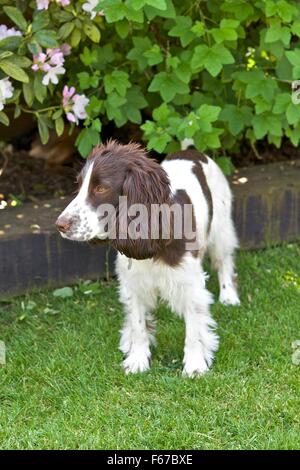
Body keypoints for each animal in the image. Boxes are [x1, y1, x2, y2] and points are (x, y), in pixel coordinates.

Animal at [55, 140, 239, 378]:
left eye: (101, 188)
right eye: (78, 186)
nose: (60, 224)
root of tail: (191, 150)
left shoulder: (190, 285)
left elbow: (193, 330)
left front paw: (194, 365)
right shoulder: (132, 284)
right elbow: (138, 325)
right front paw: (137, 360)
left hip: (221, 228)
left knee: (223, 261)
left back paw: (229, 296)